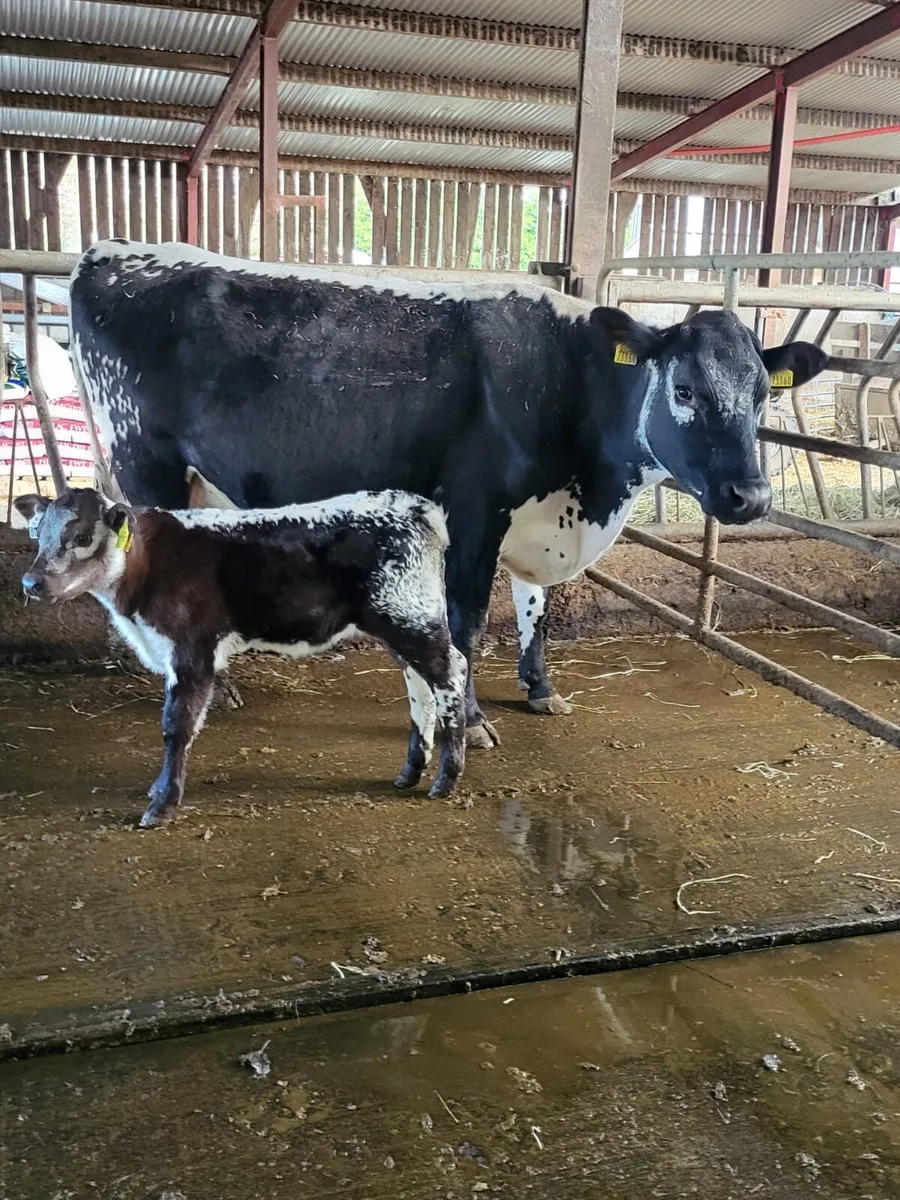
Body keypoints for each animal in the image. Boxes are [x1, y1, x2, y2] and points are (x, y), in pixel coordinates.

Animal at [14, 487, 467, 827]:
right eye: (37, 533)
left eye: (82, 538)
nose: (31, 582)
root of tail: (420, 507)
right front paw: (159, 790)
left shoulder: (193, 651)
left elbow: (177, 726)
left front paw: (162, 803)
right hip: (400, 623)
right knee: (421, 687)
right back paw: (410, 771)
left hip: (410, 616)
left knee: (450, 673)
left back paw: (446, 778)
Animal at [70, 240, 828, 748]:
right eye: (685, 389)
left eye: (763, 394)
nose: (751, 496)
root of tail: (110, 254)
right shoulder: (474, 511)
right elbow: (467, 624)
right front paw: (469, 721)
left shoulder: (535, 517)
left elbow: (535, 612)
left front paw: (540, 691)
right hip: (146, 460)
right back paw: (209, 687)